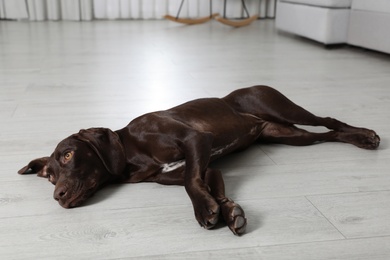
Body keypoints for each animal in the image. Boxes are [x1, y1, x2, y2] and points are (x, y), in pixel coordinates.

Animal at [18, 86, 380, 236]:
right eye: (50, 177)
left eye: (68, 154)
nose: (57, 196)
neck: (132, 152)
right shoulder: (206, 166)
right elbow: (207, 184)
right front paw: (228, 210)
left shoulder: (197, 142)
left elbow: (192, 184)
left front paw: (205, 210)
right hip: (288, 136)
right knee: (328, 135)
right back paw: (358, 139)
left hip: (283, 109)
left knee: (329, 120)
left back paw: (365, 136)